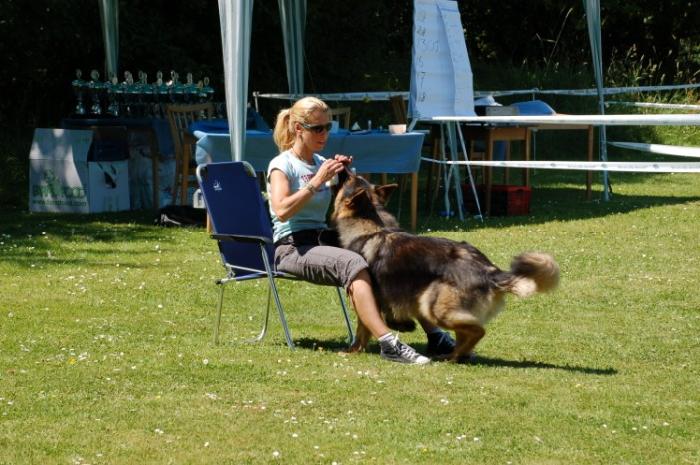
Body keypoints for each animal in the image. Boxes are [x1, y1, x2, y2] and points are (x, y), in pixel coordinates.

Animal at [331, 174, 559, 362]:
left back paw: (454, 356)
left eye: (350, 178)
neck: (370, 225)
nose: (344, 166)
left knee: (477, 330)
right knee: (465, 334)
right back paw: (454, 355)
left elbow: (362, 328)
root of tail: (489, 269)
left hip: (433, 307)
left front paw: (353, 351)